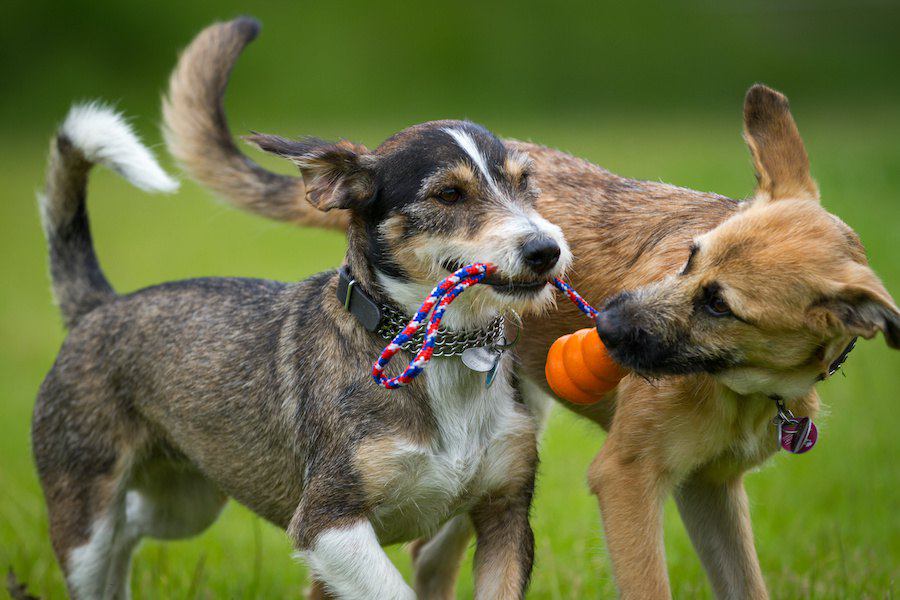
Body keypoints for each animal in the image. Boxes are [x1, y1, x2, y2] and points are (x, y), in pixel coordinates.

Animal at [163, 17, 900, 596]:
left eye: (721, 305)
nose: (605, 321)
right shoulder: (627, 480)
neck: (745, 387)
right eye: (688, 257)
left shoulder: (710, 490)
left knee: (430, 558)